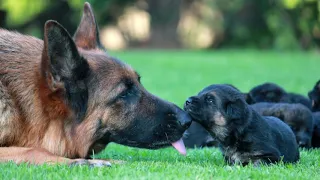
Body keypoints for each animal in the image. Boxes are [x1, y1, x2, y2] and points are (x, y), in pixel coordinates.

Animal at [0, 2, 190, 167]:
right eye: (124, 93)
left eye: (139, 83)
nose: (187, 119)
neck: (20, 106)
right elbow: (32, 150)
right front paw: (85, 162)